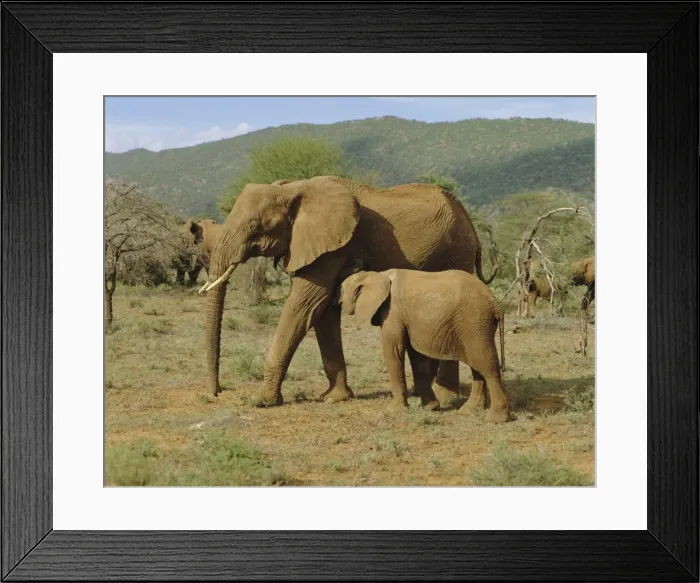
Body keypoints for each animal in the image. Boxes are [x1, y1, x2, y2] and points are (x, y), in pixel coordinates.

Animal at [198, 175, 500, 403]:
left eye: (256, 226)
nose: (217, 393)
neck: (293, 188)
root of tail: (471, 225)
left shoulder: (332, 248)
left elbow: (305, 306)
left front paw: (261, 401)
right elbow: (322, 312)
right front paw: (334, 398)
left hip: (456, 252)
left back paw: (444, 396)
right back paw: (421, 392)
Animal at [338, 269, 510, 423]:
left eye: (341, 290)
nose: (339, 303)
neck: (376, 275)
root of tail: (495, 303)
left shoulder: (392, 312)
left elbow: (393, 351)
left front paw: (394, 411)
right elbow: (416, 356)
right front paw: (431, 408)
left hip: (475, 322)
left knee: (487, 365)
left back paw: (496, 419)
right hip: (475, 327)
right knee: (477, 365)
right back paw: (469, 412)